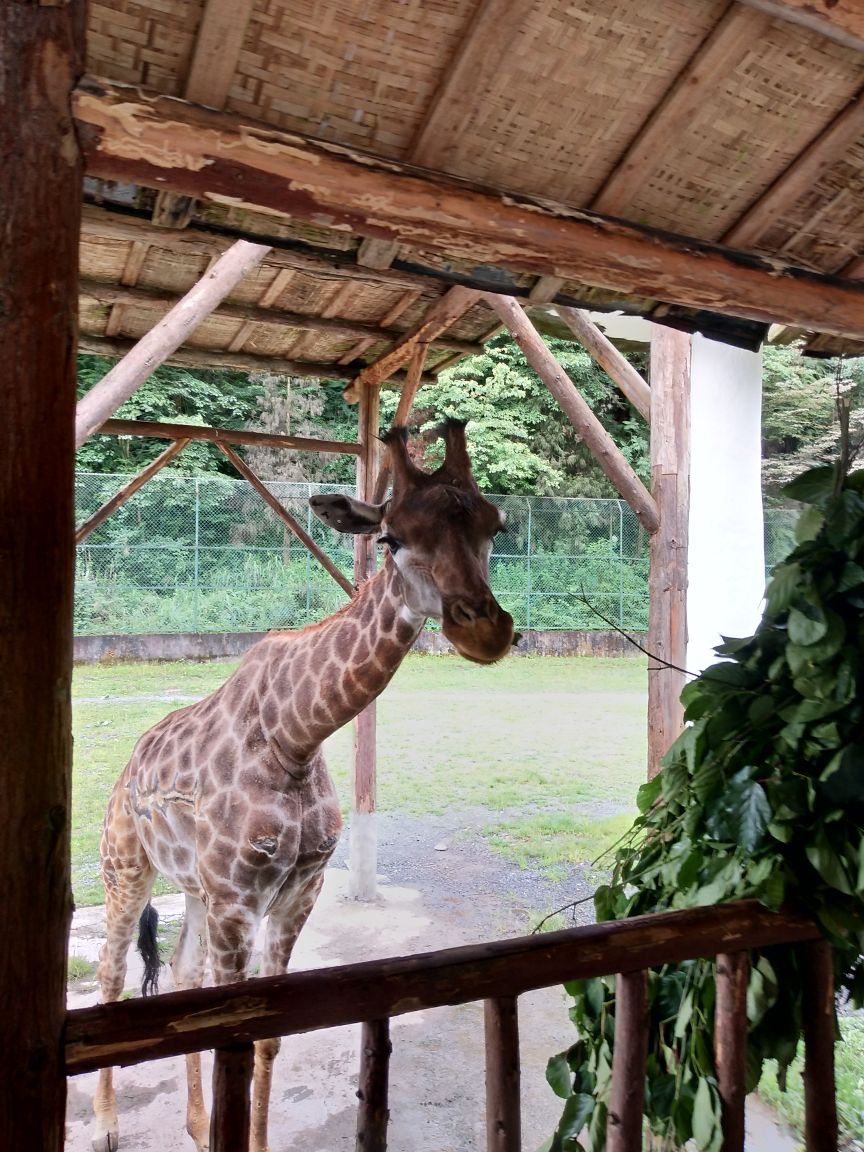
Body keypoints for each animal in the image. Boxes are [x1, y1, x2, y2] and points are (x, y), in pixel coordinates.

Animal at [93, 421, 513, 1152]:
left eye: (496, 525)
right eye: (390, 538)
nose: (485, 628)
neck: (294, 738)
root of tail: (127, 772)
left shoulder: (295, 889)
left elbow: (266, 1036)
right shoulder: (239, 898)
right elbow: (232, 1034)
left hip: (195, 890)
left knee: (181, 972)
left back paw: (196, 1124)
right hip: (127, 869)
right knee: (111, 976)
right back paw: (108, 1128)